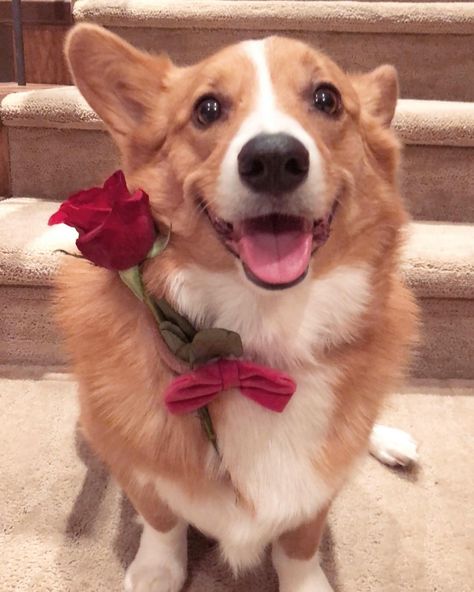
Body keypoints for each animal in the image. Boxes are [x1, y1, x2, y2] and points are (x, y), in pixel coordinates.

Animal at [56, 24, 418, 592]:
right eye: (207, 108)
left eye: (327, 98)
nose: (273, 160)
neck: (259, 342)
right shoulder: (137, 467)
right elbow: (161, 519)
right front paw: (156, 571)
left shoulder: (317, 494)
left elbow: (299, 545)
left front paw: (306, 582)